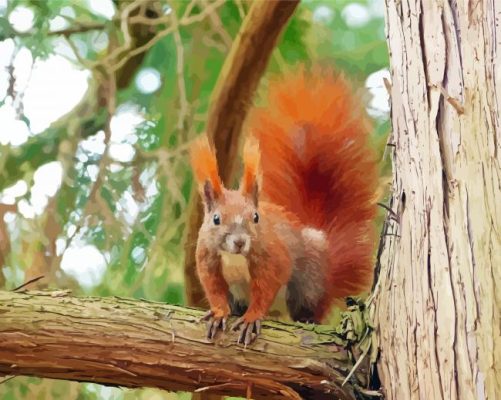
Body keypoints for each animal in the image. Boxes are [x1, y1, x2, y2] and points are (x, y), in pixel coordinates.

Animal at [189, 66, 376, 346]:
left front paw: (252, 317)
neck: (235, 257)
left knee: (308, 307)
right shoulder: (207, 260)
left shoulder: (272, 258)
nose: (240, 242)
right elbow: (214, 290)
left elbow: (265, 289)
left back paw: (306, 318)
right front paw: (219, 313)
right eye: (216, 219)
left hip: (308, 280)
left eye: (256, 217)